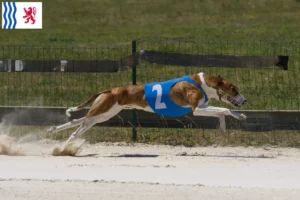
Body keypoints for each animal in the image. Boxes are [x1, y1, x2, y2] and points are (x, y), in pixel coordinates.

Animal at [48, 72, 247, 144]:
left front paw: (227, 127)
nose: (244, 101)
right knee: (78, 126)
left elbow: (221, 113)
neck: (203, 83)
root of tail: (111, 89)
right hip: (102, 110)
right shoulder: (197, 109)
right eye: (234, 89)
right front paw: (239, 116)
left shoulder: (204, 107)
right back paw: (66, 144)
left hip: (104, 113)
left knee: (78, 120)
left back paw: (53, 130)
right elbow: (225, 110)